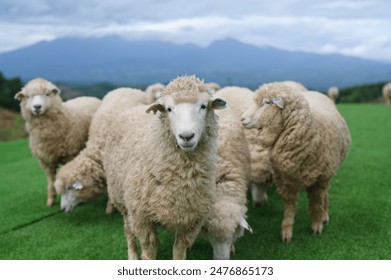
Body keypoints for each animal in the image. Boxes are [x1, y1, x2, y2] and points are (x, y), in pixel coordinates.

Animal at [14, 77, 101, 207]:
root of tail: (89, 97)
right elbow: (51, 180)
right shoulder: (45, 161)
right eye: (28, 96)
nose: (37, 107)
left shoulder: (70, 154)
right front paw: (50, 200)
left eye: (47, 94)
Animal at [102, 75, 228, 260]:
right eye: (169, 109)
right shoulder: (142, 219)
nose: (186, 136)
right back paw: (132, 255)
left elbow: (179, 252)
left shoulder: (191, 221)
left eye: (203, 106)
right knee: (128, 231)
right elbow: (148, 254)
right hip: (121, 200)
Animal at [242, 81, 352, 243]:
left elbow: (316, 203)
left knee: (324, 195)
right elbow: (289, 208)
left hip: (328, 173)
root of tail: (315, 92)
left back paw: (324, 215)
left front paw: (317, 225)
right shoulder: (285, 181)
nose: (242, 118)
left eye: (267, 102)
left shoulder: (319, 180)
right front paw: (286, 232)